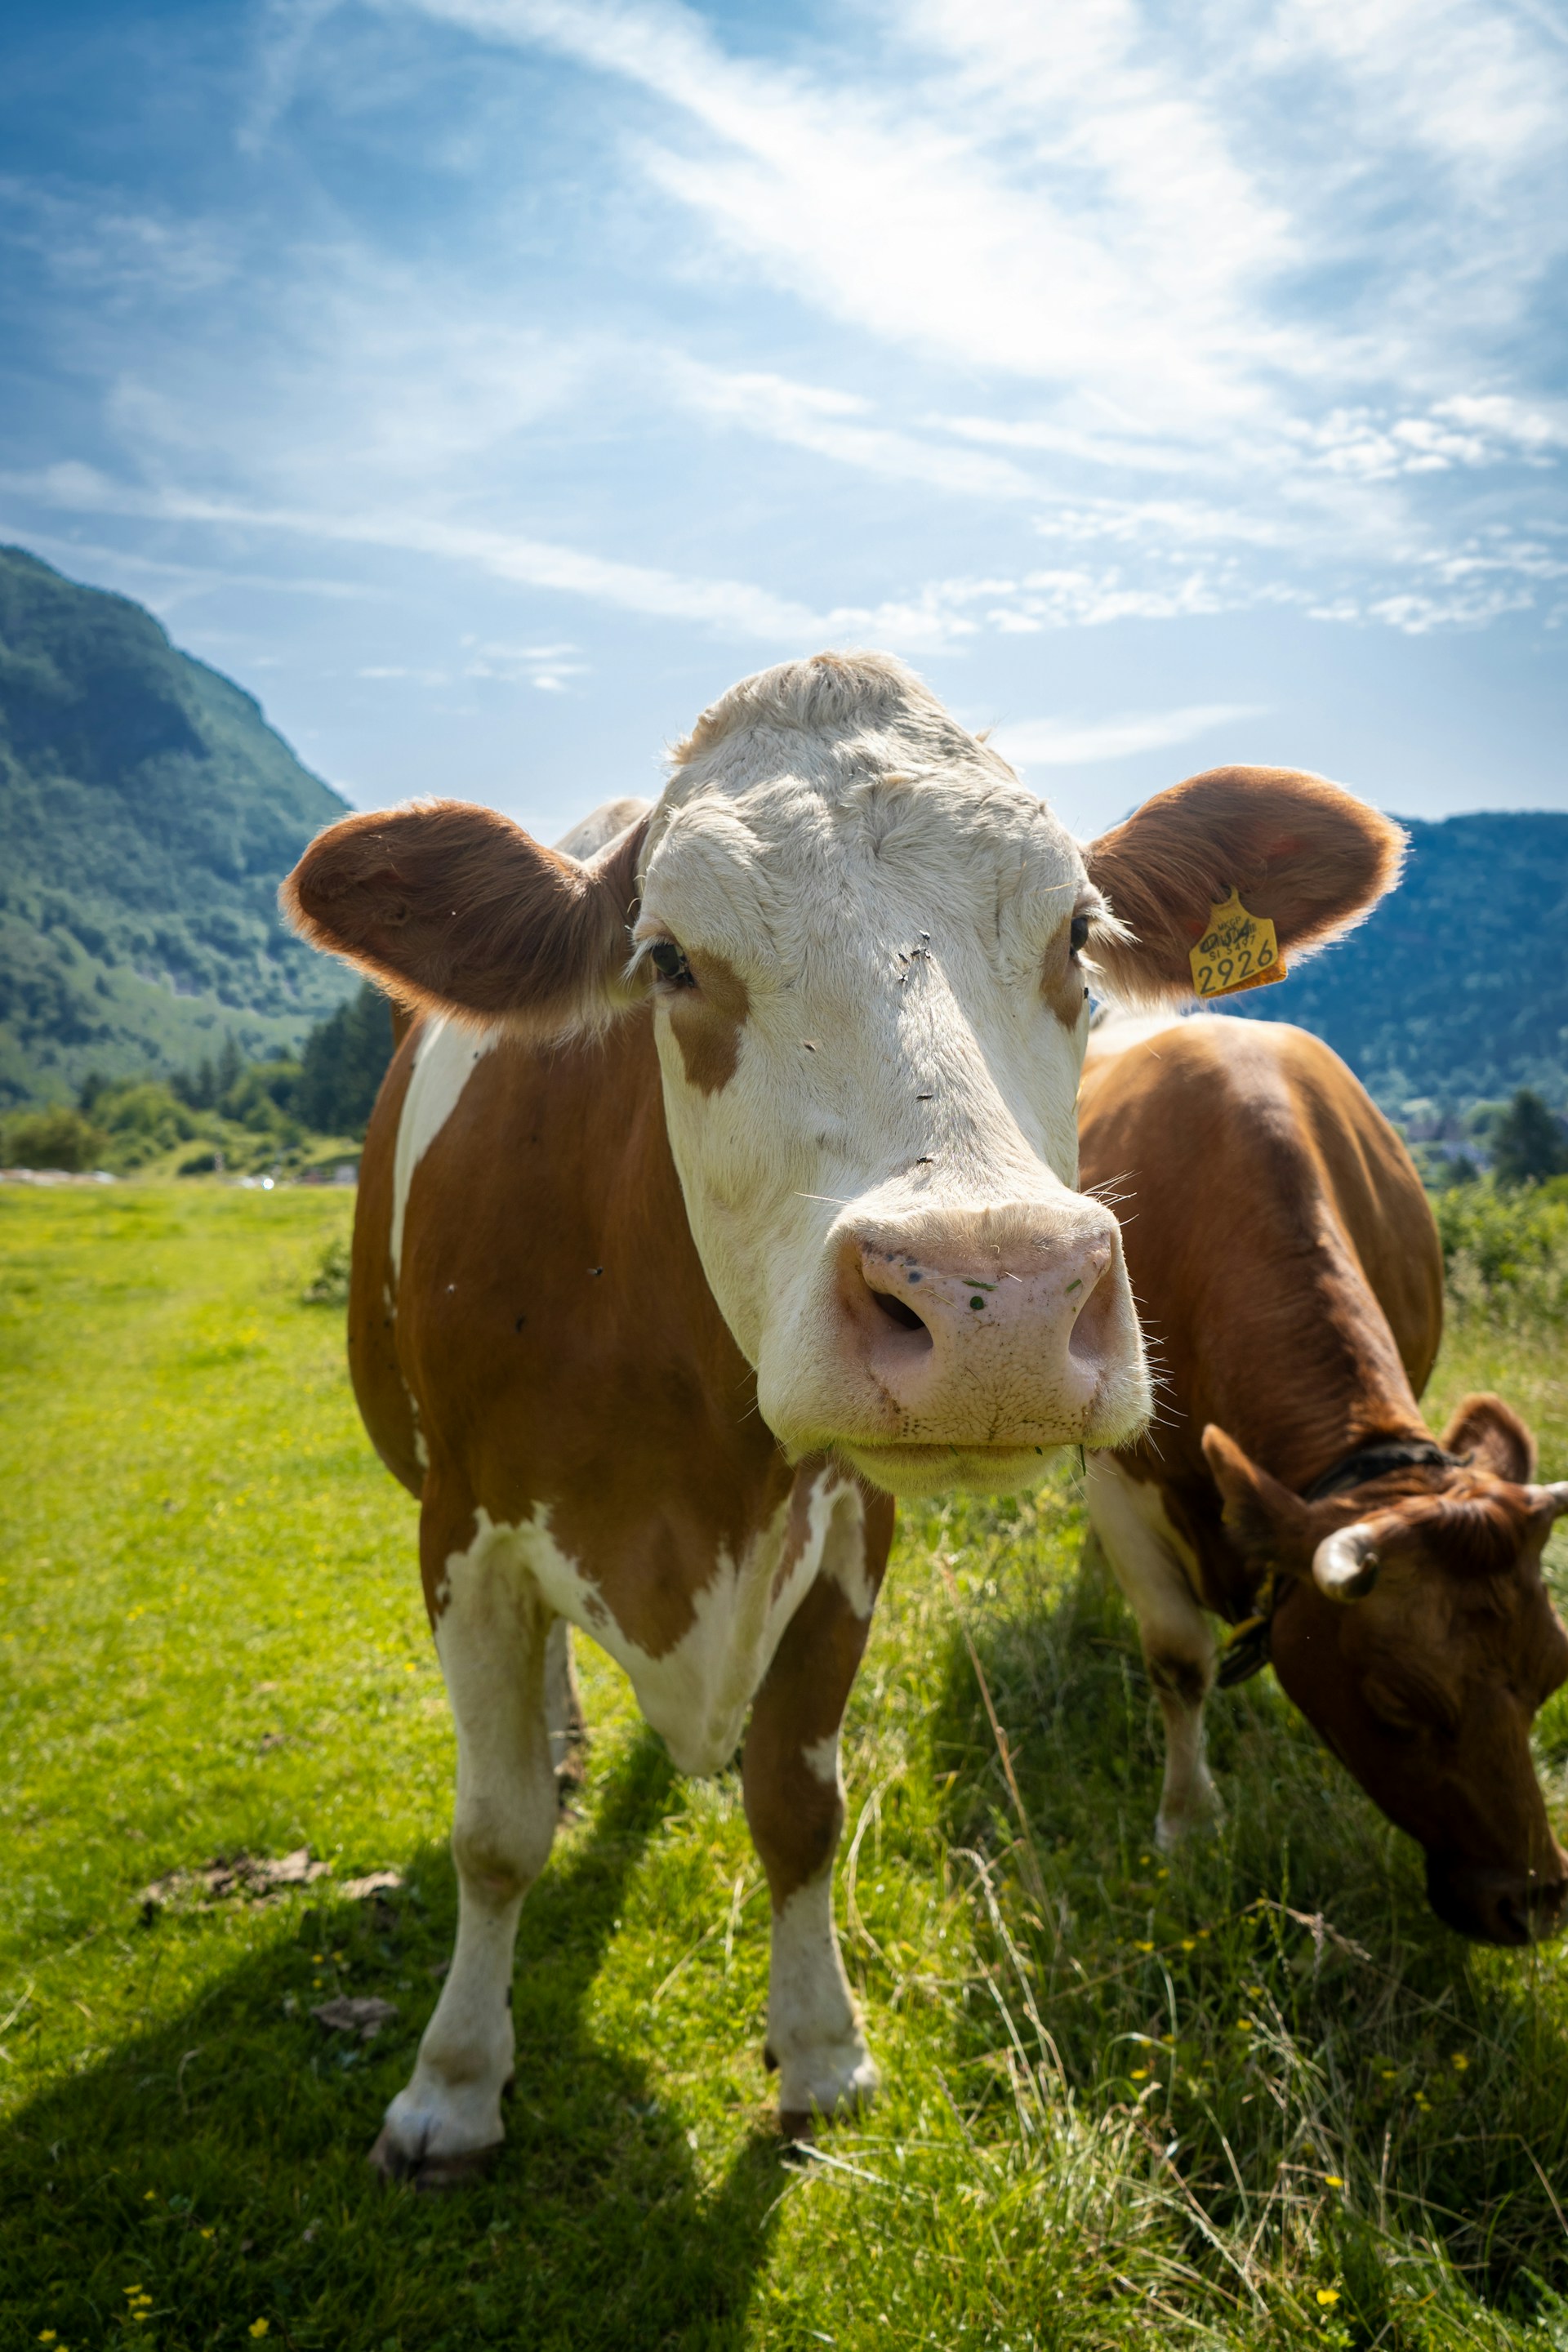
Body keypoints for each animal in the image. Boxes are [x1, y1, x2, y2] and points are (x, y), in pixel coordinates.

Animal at [283, 650, 1401, 2179]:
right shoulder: (464, 1533)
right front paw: (452, 2087)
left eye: (1076, 938)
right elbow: (495, 1832)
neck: (689, 1438)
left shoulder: (847, 1534)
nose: (997, 1297)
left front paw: (820, 2051)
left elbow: (799, 1811)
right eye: (667, 957)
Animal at [1079, 1012, 1568, 1944]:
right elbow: (1179, 1659)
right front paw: (1188, 1822)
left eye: (1553, 1674)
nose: (1532, 1904)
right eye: (1397, 1704)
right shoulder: (1121, 1480)